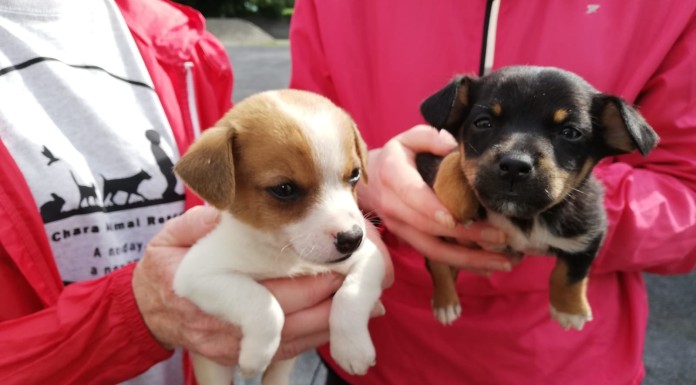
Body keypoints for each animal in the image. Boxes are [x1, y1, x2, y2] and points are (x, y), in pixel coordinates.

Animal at [171, 89, 384, 384]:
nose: (352, 238)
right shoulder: (197, 275)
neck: (283, 256)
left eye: (354, 175)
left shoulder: (370, 258)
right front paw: (255, 356)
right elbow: (265, 305)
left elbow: (352, 295)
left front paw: (353, 350)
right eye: (284, 189)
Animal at [416, 66, 660, 330]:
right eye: (483, 123)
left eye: (570, 133)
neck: (524, 217)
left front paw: (569, 310)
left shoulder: (590, 229)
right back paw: (445, 301)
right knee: (437, 262)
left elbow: (571, 273)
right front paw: (459, 199)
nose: (514, 166)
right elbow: (452, 156)